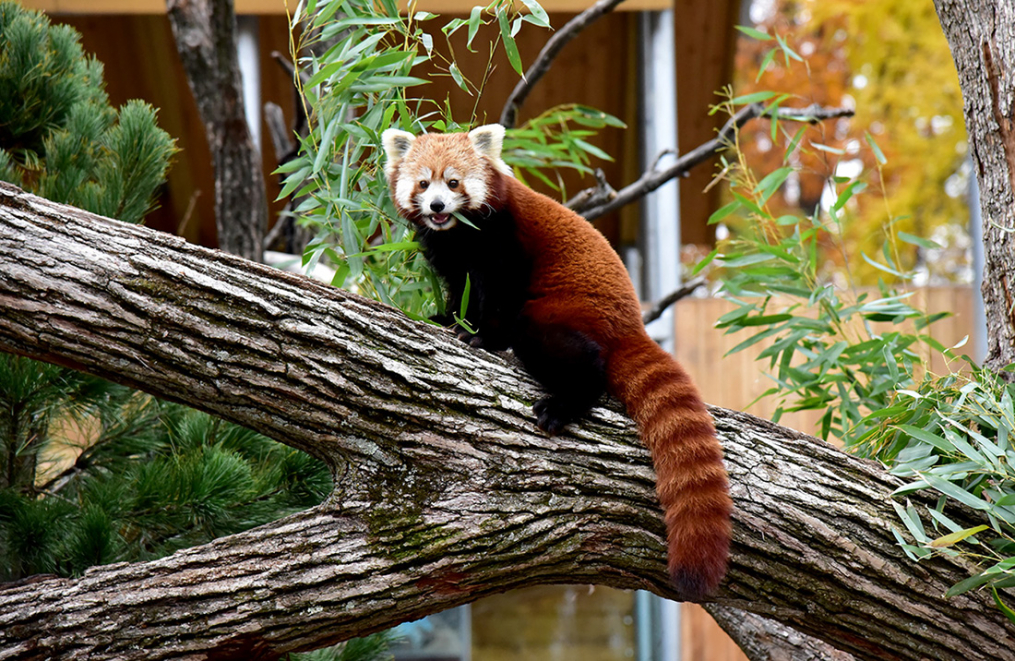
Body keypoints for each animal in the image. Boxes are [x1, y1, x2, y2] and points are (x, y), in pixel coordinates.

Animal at [381, 122, 730, 601]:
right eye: (422, 183)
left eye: (453, 183)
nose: (437, 206)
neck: (459, 233)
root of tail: (632, 323)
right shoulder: (450, 256)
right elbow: (459, 291)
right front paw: (446, 318)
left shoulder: (504, 241)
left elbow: (498, 294)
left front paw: (481, 335)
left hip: (561, 312)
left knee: (571, 356)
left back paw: (562, 404)